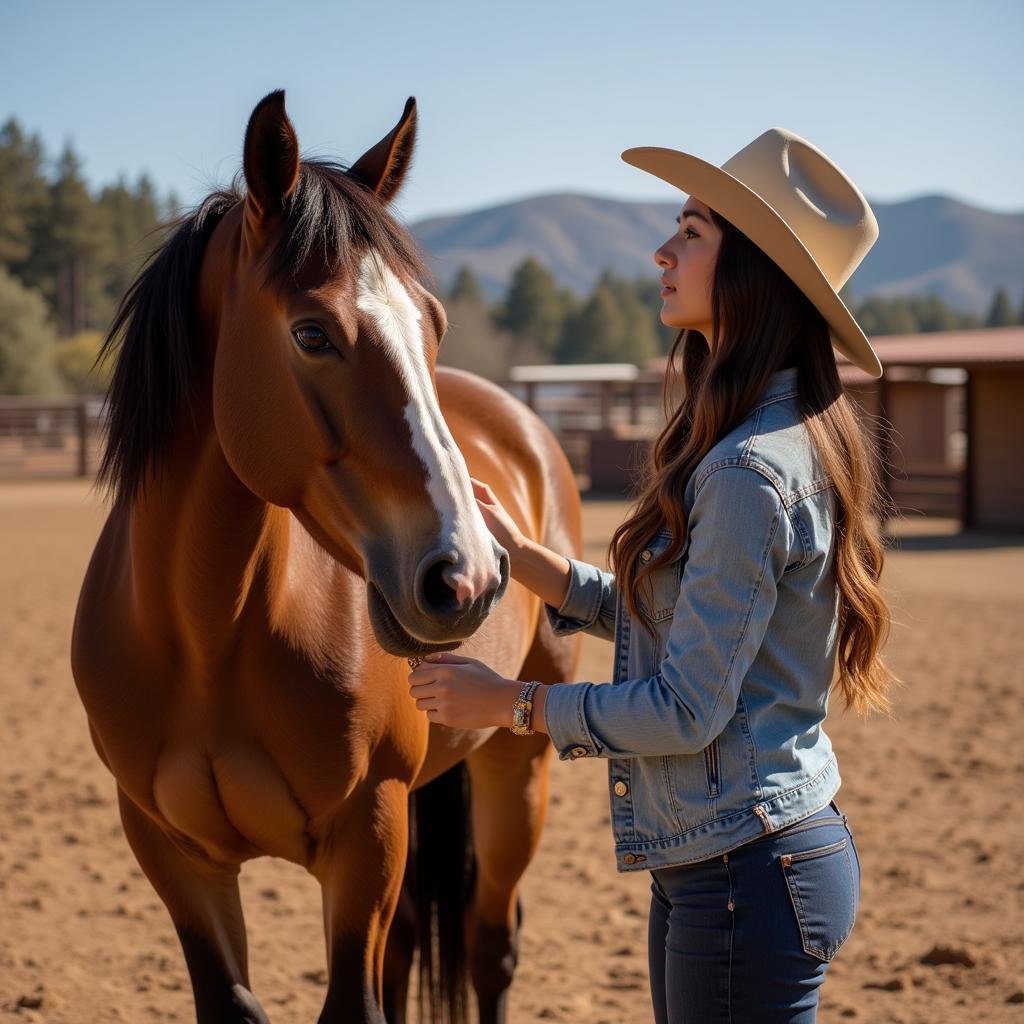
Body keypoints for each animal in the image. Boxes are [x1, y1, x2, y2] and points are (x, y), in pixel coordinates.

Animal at [70, 90, 585, 1024]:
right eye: (312, 334)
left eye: (434, 325)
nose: (468, 576)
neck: (208, 640)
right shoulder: (172, 855)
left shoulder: (367, 837)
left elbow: (357, 1002)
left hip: (516, 767)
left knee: (490, 947)